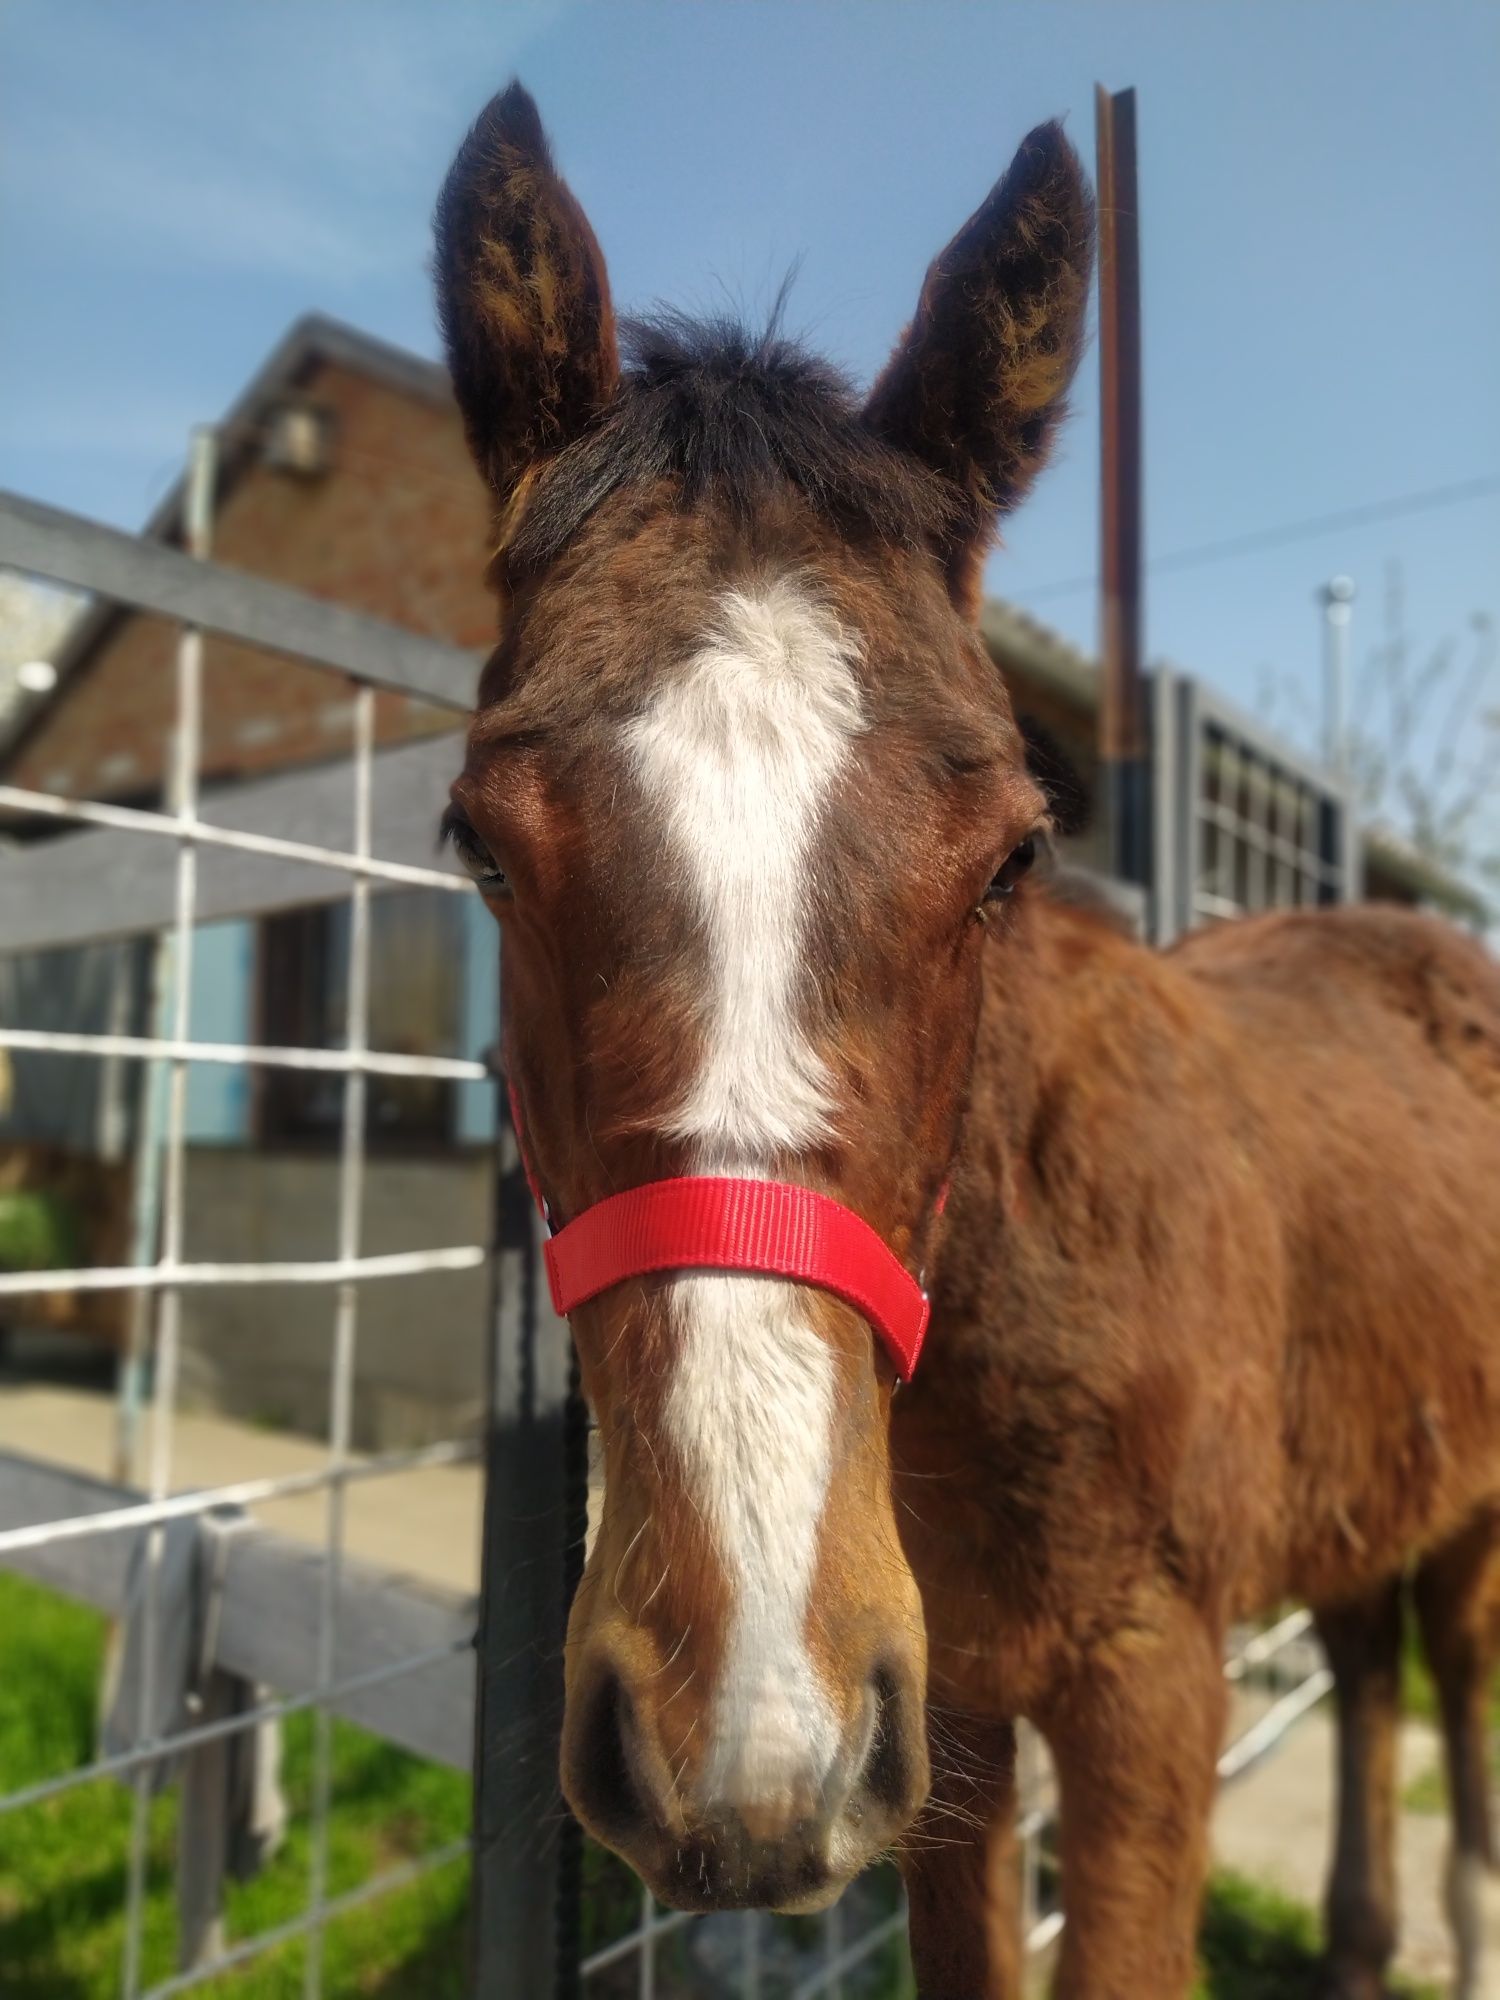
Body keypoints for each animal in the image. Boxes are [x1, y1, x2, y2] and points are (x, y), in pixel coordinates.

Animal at [432, 82, 1500, 2000]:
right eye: (479, 842)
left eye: (1011, 852)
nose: (738, 1728)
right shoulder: (950, 1717)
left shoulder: (1146, 1684)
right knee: (1372, 1668)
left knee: (1451, 1673)